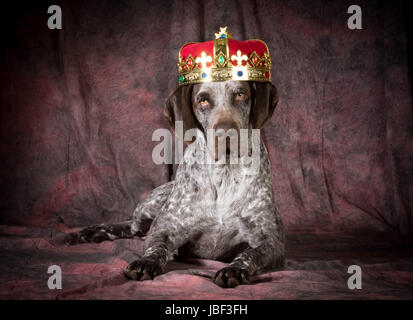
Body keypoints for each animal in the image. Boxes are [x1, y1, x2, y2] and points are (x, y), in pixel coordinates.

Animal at [65, 79, 284, 288]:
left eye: (240, 94)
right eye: (202, 100)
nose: (225, 133)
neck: (224, 173)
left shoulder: (270, 241)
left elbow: (249, 254)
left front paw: (235, 269)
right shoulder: (164, 229)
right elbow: (156, 247)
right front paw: (146, 262)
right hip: (150, 204)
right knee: (133, 227)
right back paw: (94, 231)